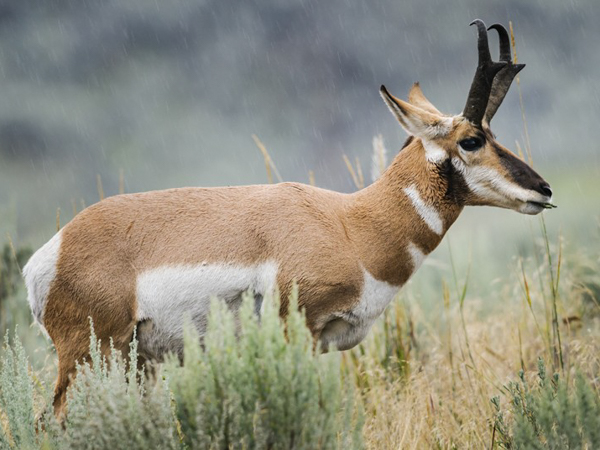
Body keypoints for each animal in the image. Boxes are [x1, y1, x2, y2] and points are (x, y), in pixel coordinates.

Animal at [24, 20, 552, 414]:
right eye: (471, 140)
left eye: (492, 133)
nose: (542, 190)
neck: (350, 223)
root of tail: (51, 251)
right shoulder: (296, 330)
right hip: (91, 356)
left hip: (133, 363)